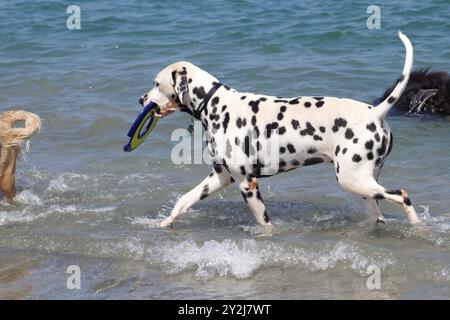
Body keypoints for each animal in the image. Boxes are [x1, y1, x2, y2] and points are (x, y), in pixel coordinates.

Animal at [141, 31, 422, 228]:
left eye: (156, 83)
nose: (141, 99)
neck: (216, 103)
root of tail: (375, 112)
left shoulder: (247, 184)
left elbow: (264, 223)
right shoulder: (221, 177)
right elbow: (183, 201)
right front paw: (165, 223)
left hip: (354, 180)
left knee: (403, 196)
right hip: (364, 187)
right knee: (380, 213)